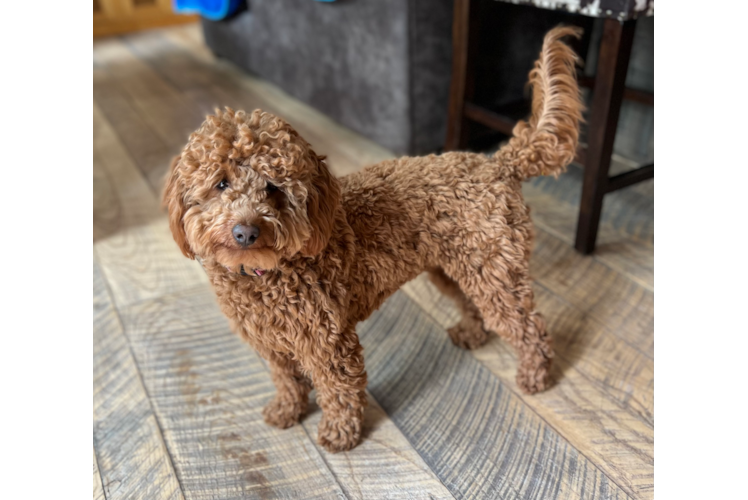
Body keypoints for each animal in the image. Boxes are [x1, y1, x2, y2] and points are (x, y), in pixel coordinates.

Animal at [164, 27, 584, 452]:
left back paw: (535, 375)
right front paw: (286, 411)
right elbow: (287, 381)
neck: (266, 274)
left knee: (530, 327)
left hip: (494, 272)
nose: (246, 231)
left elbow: (339, 391)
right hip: (457, 267)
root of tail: (499, 164)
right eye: (221, 183)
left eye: (274, 188)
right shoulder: (272, 344)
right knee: (471, 302)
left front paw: (339, 434)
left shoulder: (328, 341)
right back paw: (471, 334)